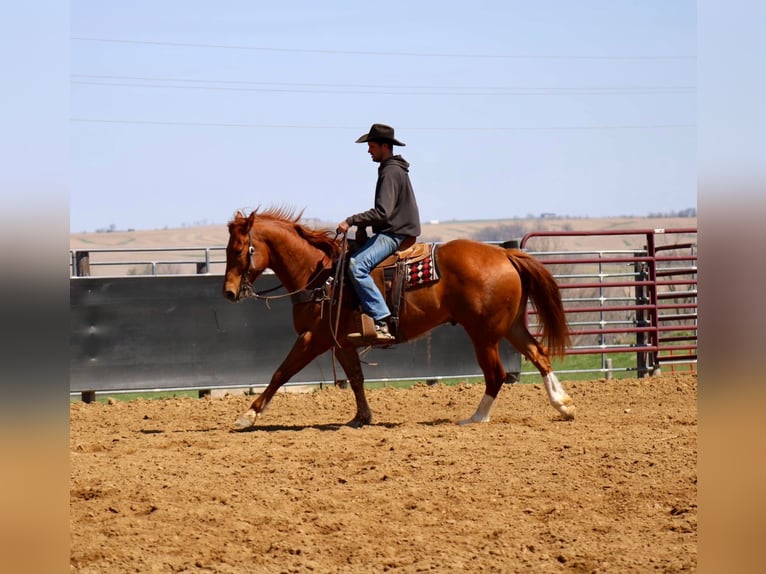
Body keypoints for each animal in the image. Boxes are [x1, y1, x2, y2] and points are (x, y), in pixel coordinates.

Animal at [222, 209, 576, 430]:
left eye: (239, 250)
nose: (228, 292)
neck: (320, 275)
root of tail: (504, 253)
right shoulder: (341, 343)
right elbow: (356, 379)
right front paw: (362, 417)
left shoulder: (314, 338)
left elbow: (281, 373)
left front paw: (248, 415)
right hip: (512, 326)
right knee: (539, 355)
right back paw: (563, 405)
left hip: (484, 334)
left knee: (497, 374)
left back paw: (476, 418)